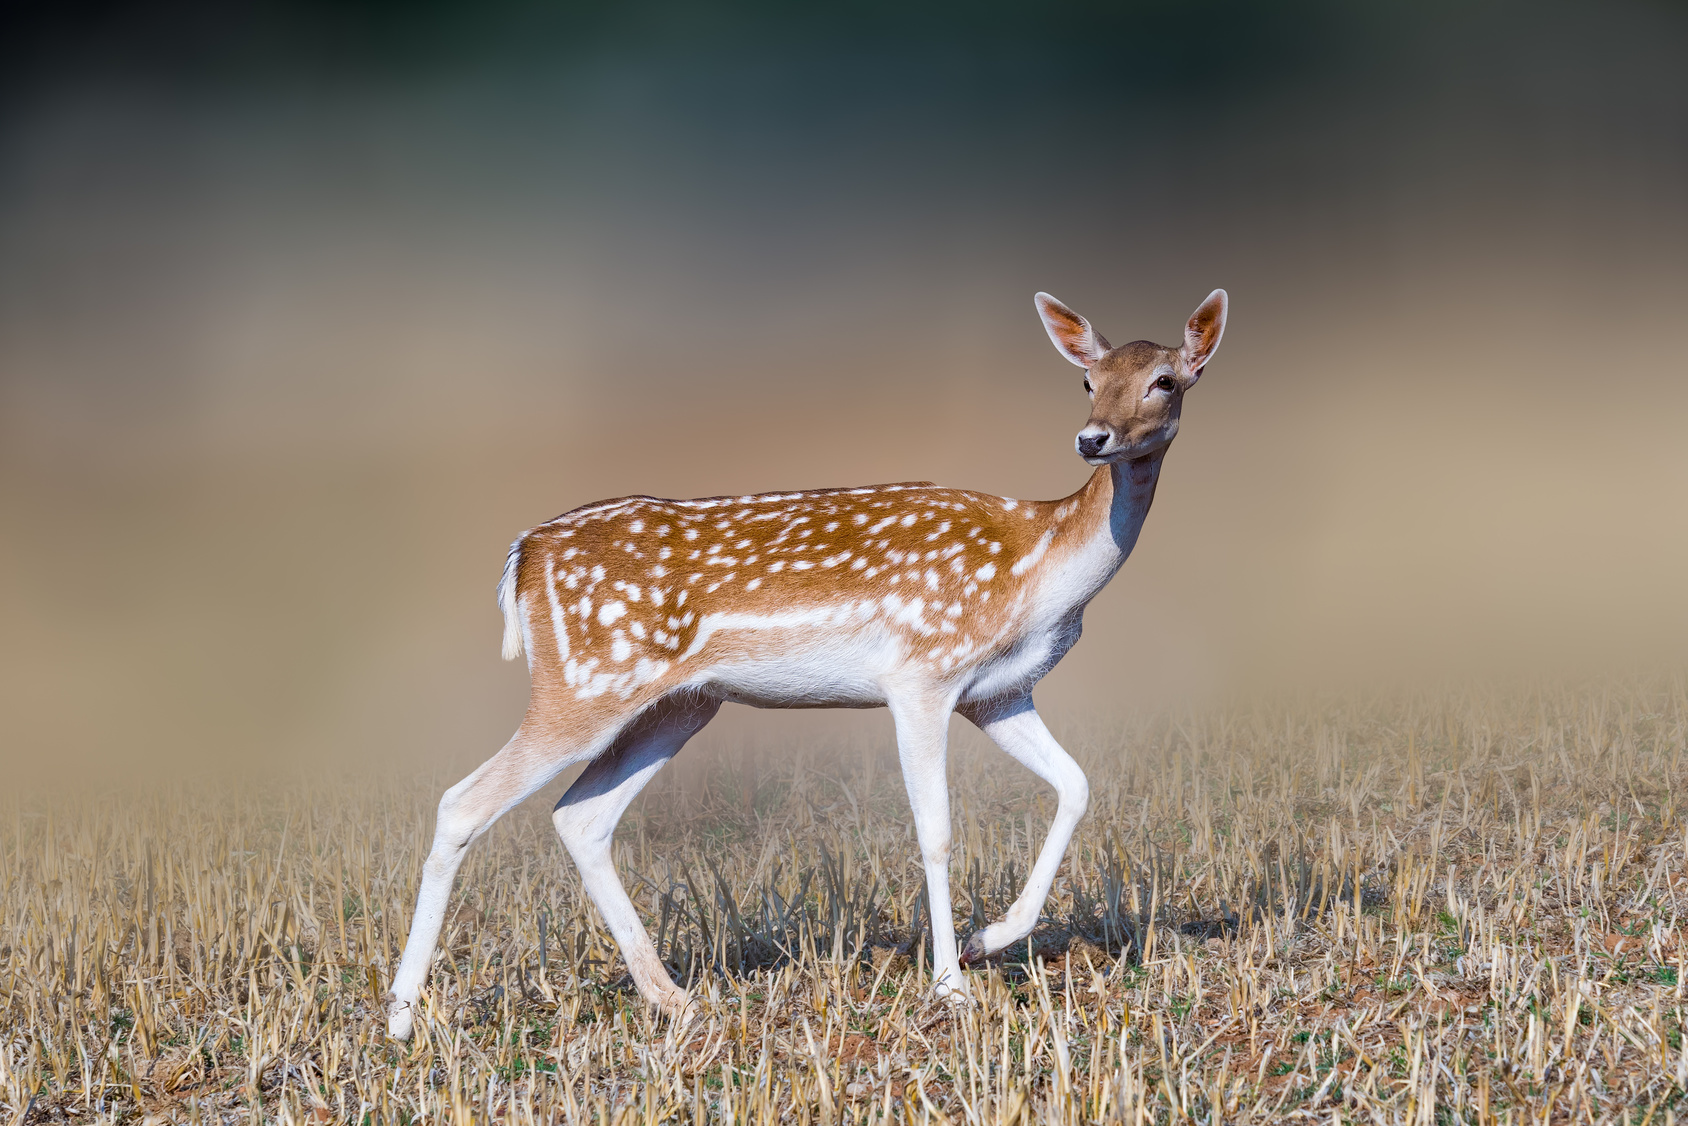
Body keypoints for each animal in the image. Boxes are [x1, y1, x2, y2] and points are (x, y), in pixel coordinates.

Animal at [386, 290, 1228, 1039]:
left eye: (1164, 379)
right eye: (1087, 380)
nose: (1094, 438)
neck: (1041, 567)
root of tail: (522, 556)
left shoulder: (998, 692)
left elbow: (1077, 785)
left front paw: (987, 941)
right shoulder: (920, 672)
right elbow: (936, 829)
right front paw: (950, 987)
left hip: (678, 704)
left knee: (581, 815)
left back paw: (676, 1000)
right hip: (584, 684)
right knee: (464, 801)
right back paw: (400, 1018)